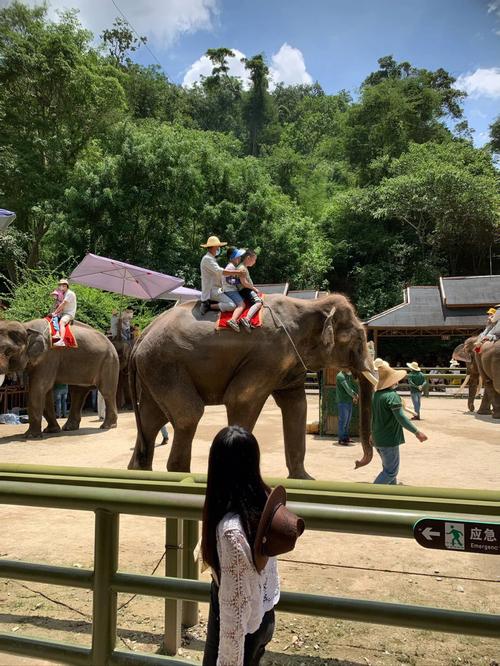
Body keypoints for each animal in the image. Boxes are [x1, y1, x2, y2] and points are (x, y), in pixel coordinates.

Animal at [127, 294, 376, 478]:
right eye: (358, 340)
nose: (356, 463)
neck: (310, 305)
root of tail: (143, 335)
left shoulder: (289, 362)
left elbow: (297, 406)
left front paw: (304, 480)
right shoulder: (268, 356)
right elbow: (240, 399)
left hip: (153, 371)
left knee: (151, 420)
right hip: (166, 365)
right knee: (189, 414)